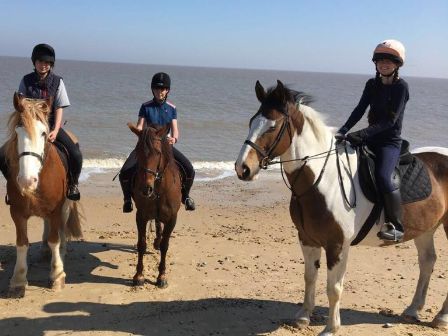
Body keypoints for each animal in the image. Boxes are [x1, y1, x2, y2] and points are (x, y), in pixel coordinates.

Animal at [4, 93, 83, 298]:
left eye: (43, 133)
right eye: (17, 132)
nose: (27, 181)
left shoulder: (55, 210)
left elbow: (55, 238)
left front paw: (57, 275)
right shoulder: (16, 212)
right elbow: (22, 243)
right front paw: (18, 280)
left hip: (65, 206)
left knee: (61, 227)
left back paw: (61, 251)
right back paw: (44, 250)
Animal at [127, 122, 181, 288]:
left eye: (158, 153)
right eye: (137, 152)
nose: (146, 188)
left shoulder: (172, 219)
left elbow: (165, 245)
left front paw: (161, 277)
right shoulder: (141, 216)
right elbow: (142, 244)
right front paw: (138, 276)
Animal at [234, 81, 448, 336]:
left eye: (272, 126)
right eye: (251, 122)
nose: (242, 169)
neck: (325, 180)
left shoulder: (337, 245)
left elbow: (333, 287)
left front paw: (331, 328)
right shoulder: (307, 239)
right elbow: (309, 277)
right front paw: (303, 316)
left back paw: (441, 317)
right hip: (426, 229)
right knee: (427, 261)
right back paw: (413, 310)